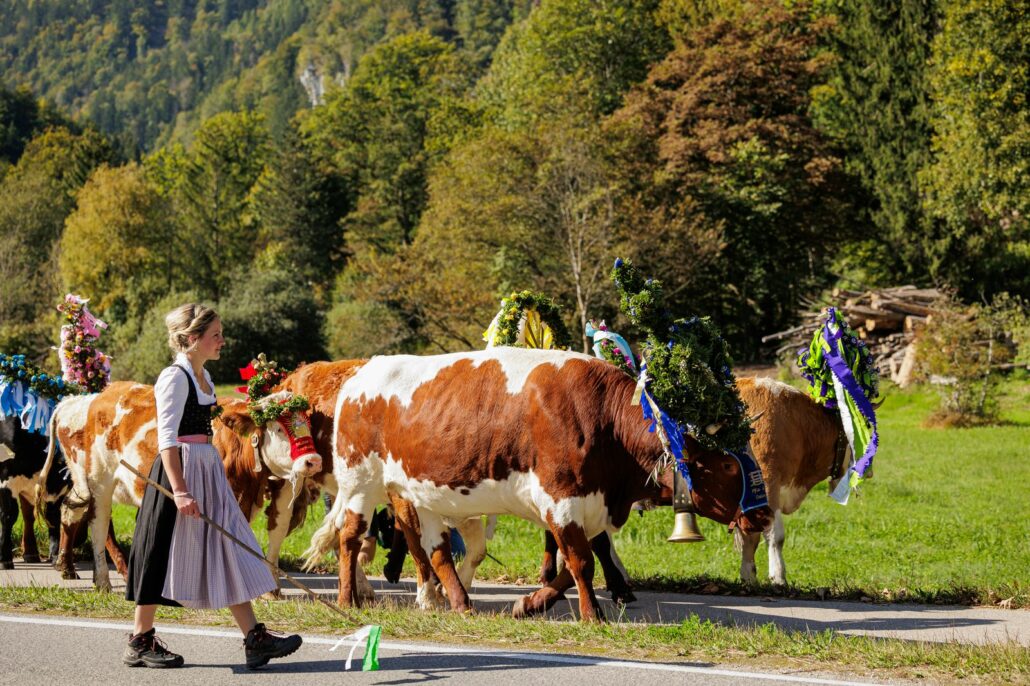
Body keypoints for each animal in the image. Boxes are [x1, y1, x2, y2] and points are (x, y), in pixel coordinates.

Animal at [39, 381, 321, 589]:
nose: (313, 461)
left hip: (83, 483)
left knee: (72, 510)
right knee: (98, 524)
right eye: (278, 429)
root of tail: (89, 398)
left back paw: (69, 567)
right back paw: (103, 581)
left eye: (308, 424)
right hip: (98, 481)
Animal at [294, 348, 770, 618]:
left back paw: (460, 604)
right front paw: (591, 615)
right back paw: (348, 599)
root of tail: (359, 375)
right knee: (350, 537)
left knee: (437, 549)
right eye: (730, 467)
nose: (763, 516)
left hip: (421, 494)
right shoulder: (561, 498)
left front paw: (531, 603)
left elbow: (577, 565)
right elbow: (581, 563)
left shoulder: (587, 506)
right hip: (361, 483)